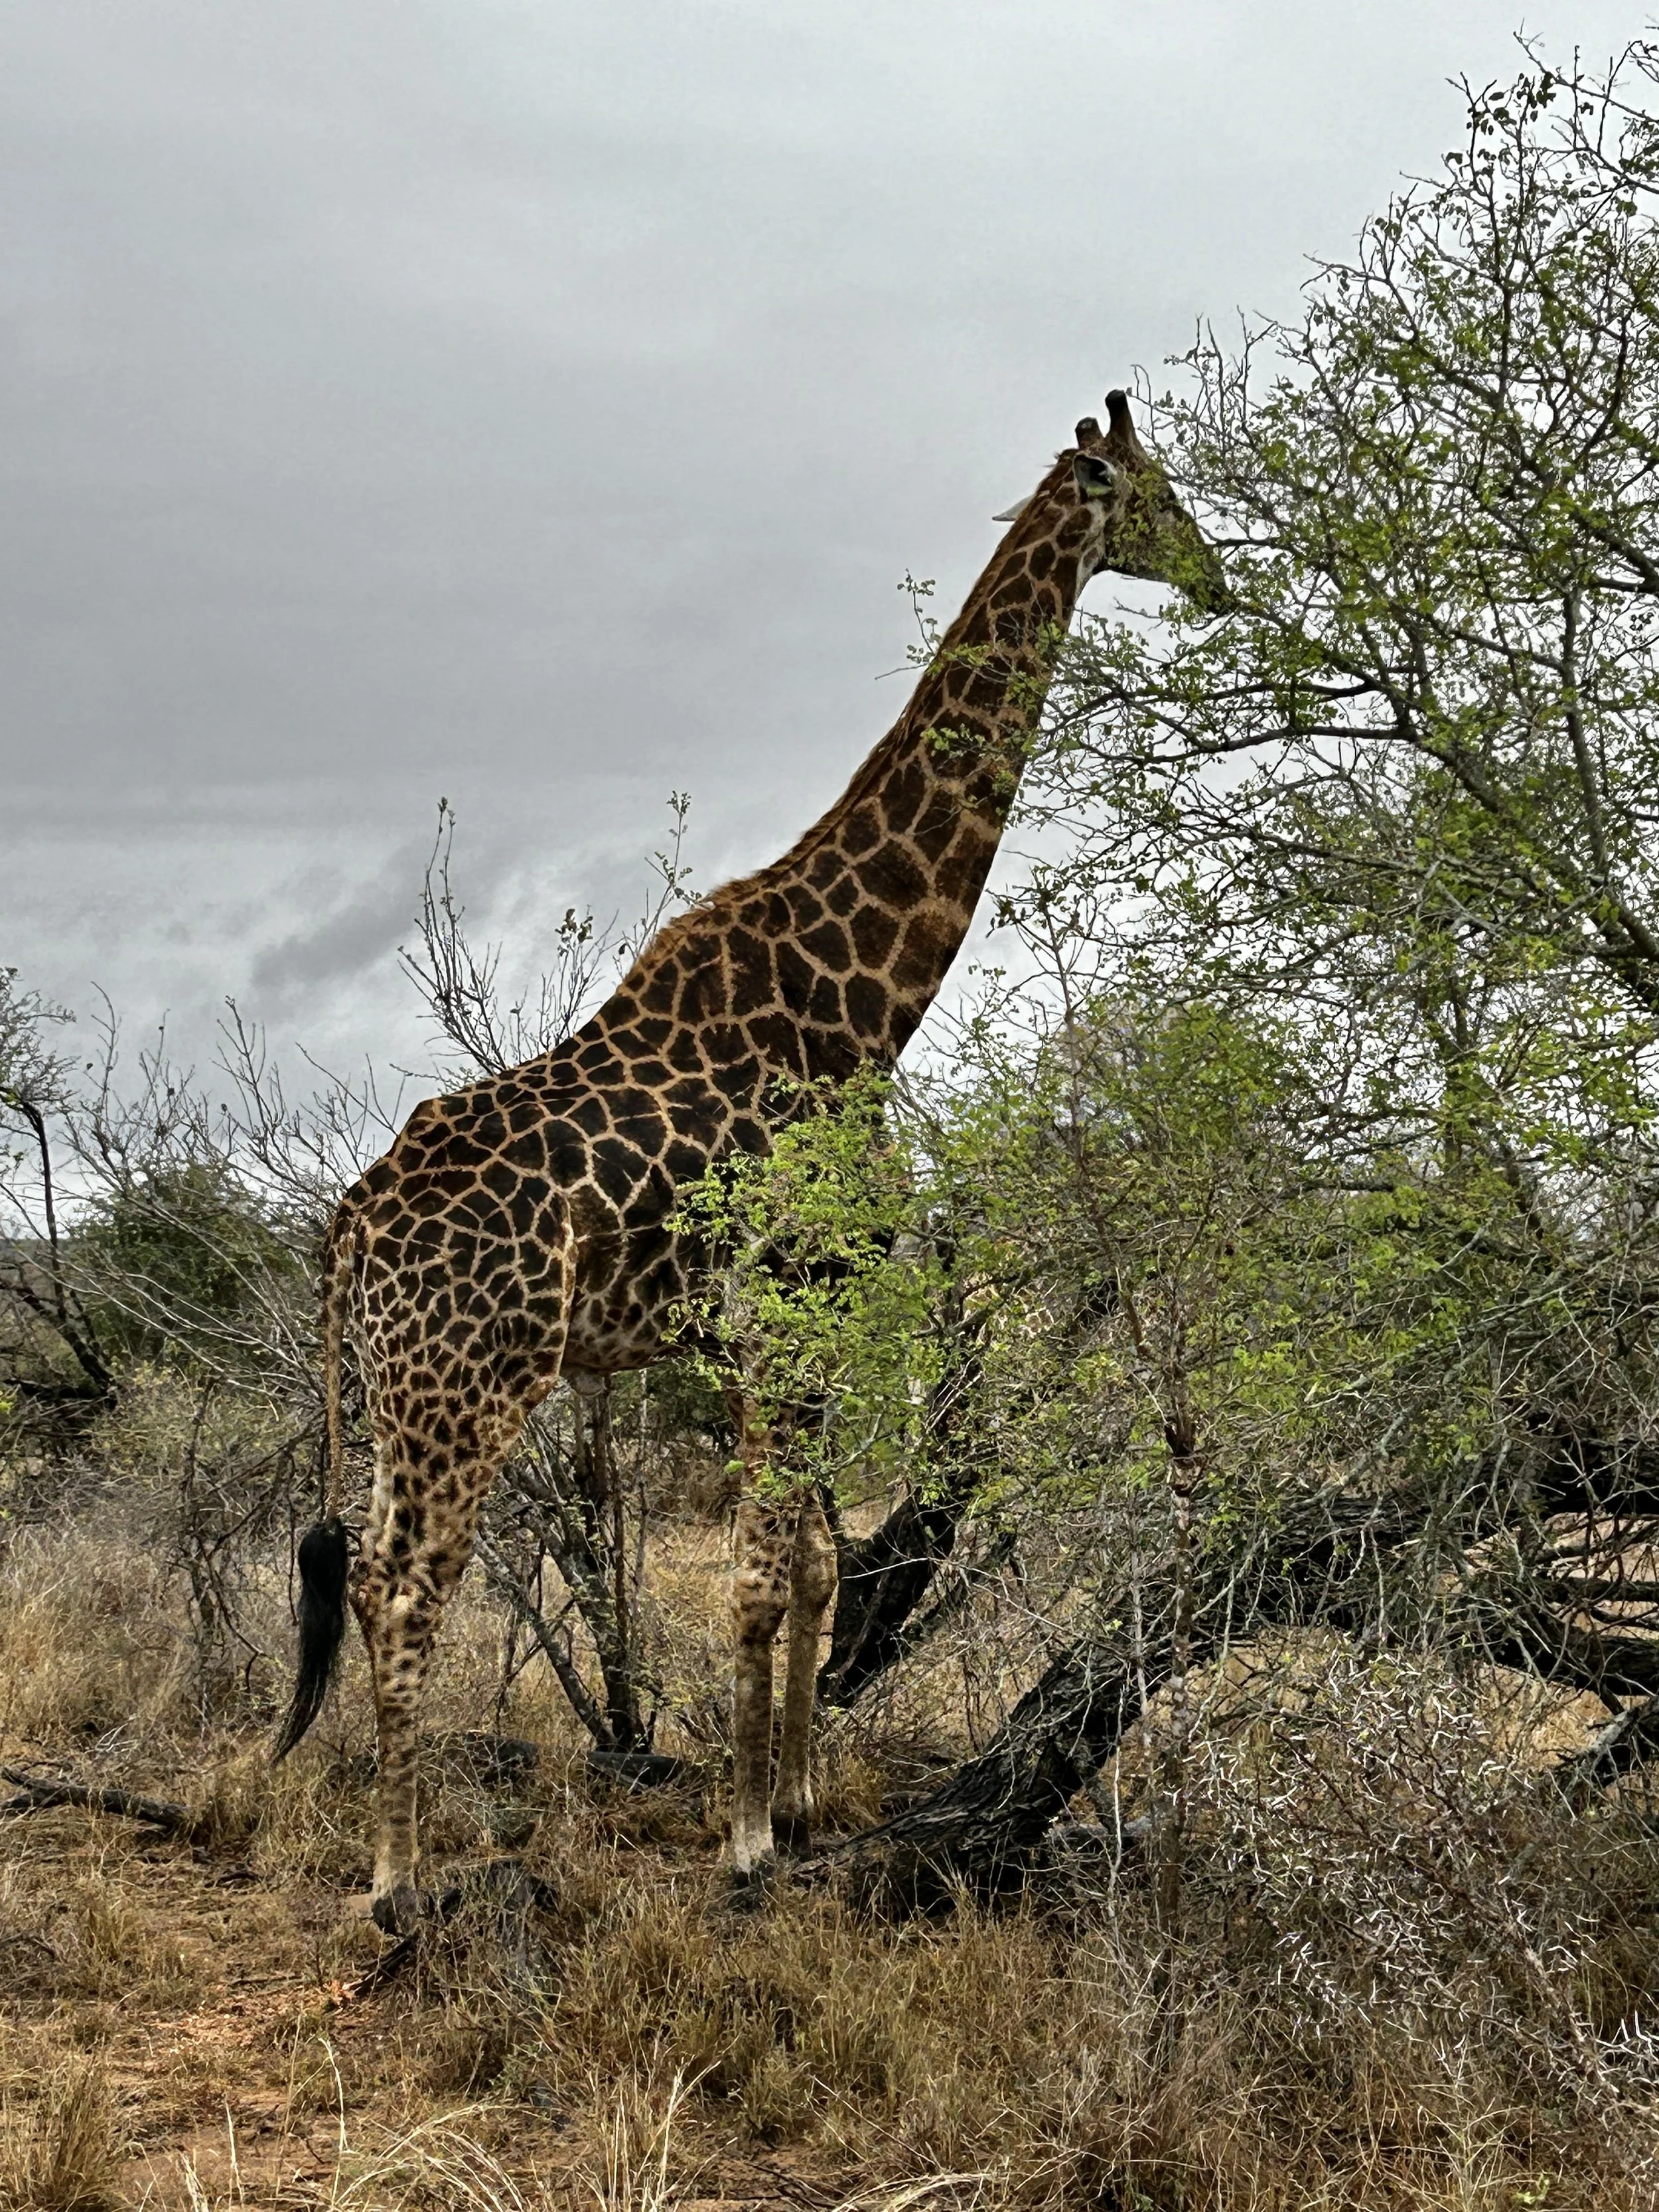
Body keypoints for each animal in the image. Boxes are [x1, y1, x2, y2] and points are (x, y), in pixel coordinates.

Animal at [274, 391, 1219, 1934]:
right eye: (1154, 494)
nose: (1221, 574)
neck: (864, 1002)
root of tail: (351, 1219)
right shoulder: (783, 1313)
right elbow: (763, 1584)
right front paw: (743, 1842)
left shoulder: (783, 1329)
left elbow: (818, 1568)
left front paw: (794, 1798)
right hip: (466, 1384)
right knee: (408, 1589)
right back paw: (398, 1879)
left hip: (405, 1389)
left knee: (363, 1574)